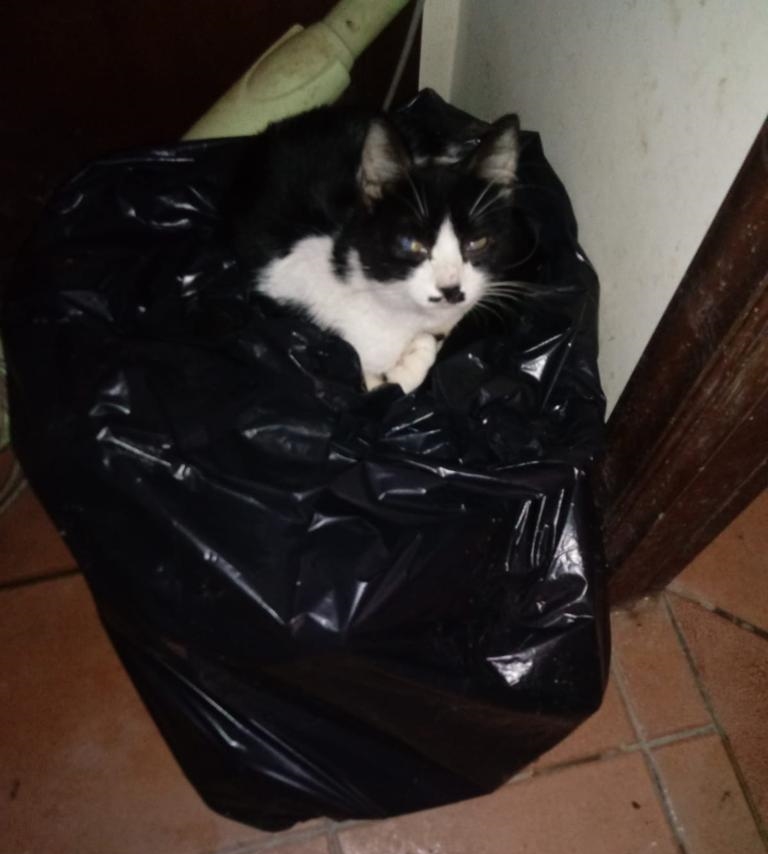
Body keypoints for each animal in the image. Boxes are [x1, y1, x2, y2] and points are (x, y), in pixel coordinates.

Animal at [228, 107, 521, 393]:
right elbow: (377, 384)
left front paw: (421, 348)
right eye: (411, 244)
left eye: (477, 242)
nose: (450, 289)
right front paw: (410, 358)